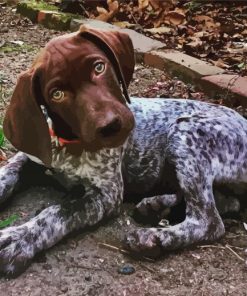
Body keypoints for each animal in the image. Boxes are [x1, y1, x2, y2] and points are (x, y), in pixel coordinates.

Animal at [0, 24, 247, 276]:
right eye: (56, 93)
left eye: (99, 67)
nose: (111, 126)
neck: (71, 144)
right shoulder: (31, 155)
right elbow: (9, 172)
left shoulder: (107, 195)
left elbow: (59, 211)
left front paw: (20, 238)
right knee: (225, 204)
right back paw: (155, 207)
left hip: (185, 133)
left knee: (209, 221)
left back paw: (154, 238)